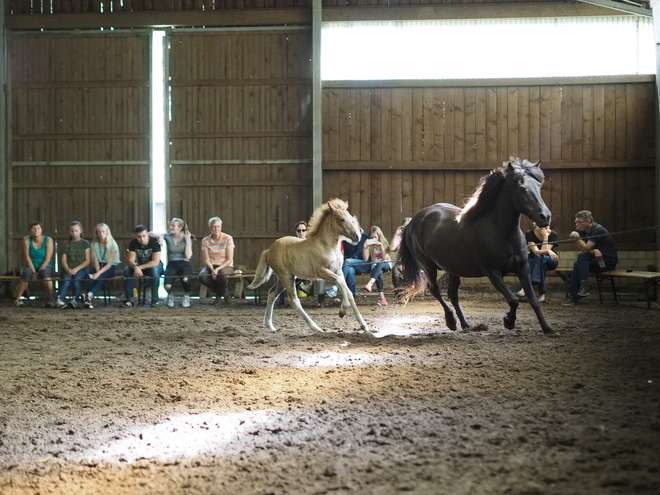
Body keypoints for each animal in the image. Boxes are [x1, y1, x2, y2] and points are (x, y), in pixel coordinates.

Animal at [400, 159, 556, 338]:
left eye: (539, 186)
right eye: (522, 188)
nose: (545, 217)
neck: (502, 233)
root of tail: (413, 221)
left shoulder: (523, 268)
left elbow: (533, 301)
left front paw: (548, 328)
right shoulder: (492, 272)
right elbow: (513, 300)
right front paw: (508, 321)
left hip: (453, 269)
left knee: (453, 294)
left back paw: (466, 325)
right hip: (428, 266)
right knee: (434, 289)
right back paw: (451, 321)